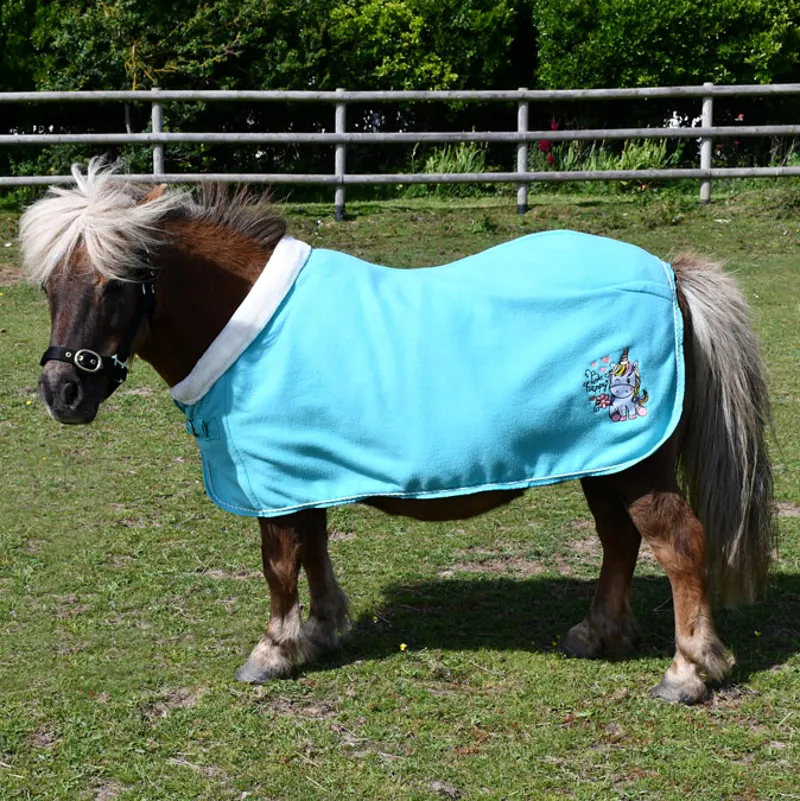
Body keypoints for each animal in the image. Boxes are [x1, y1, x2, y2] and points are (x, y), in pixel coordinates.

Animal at [19, 160, 775, 705]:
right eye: (49, 286)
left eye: (117, 285)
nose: (62, 395)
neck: (245, 324)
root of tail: (669, 275)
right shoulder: (304, 473)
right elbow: (314, 549)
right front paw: (321, 631)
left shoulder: (276, 483)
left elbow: (279, 562)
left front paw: (273, 651)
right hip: (605, 457)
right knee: (620, 538)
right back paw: (597, 633)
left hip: (633, 460)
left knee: (679, 543)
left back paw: (688, 671)